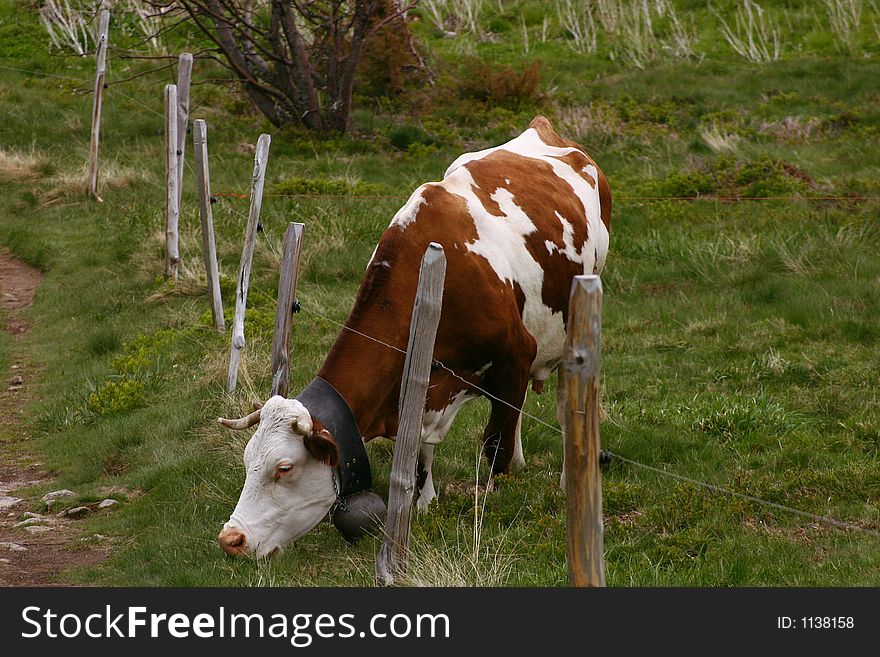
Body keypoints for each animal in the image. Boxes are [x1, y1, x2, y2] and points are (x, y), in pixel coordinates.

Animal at [218, 116, 612, 552]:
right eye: (247, 462)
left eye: (284, 468)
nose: (231, 538)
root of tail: (541, 128)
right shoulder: (425, 382)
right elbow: (421, 447)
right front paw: (423, 503)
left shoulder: (515, 356)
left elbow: (496, 445)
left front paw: (492, 503)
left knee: (563, 405)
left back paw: (567, 477)